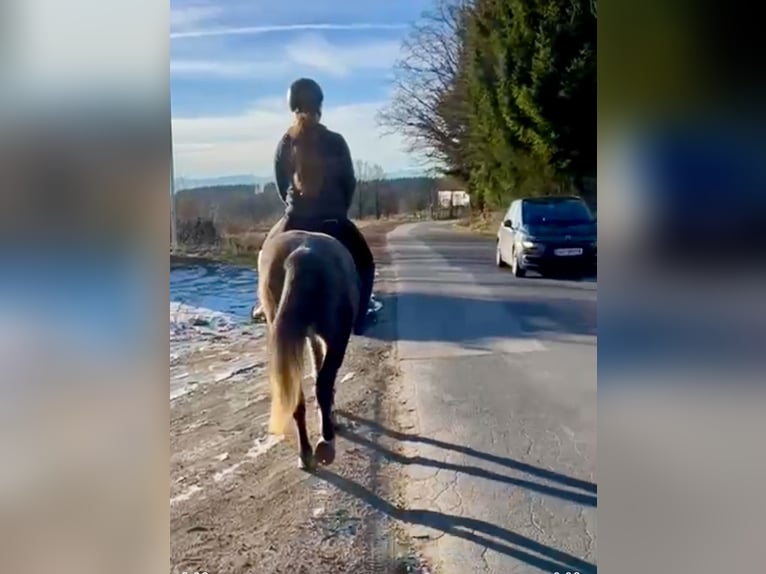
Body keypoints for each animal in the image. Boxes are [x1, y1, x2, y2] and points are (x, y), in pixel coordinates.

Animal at [258, 230, 360, 472]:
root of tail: (301, 254)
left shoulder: (311, 336)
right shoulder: (327, 339)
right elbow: (322, 374)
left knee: (298, 396)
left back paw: (305, 454)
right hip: (337, 337)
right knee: (323, 384)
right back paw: (326, 444)